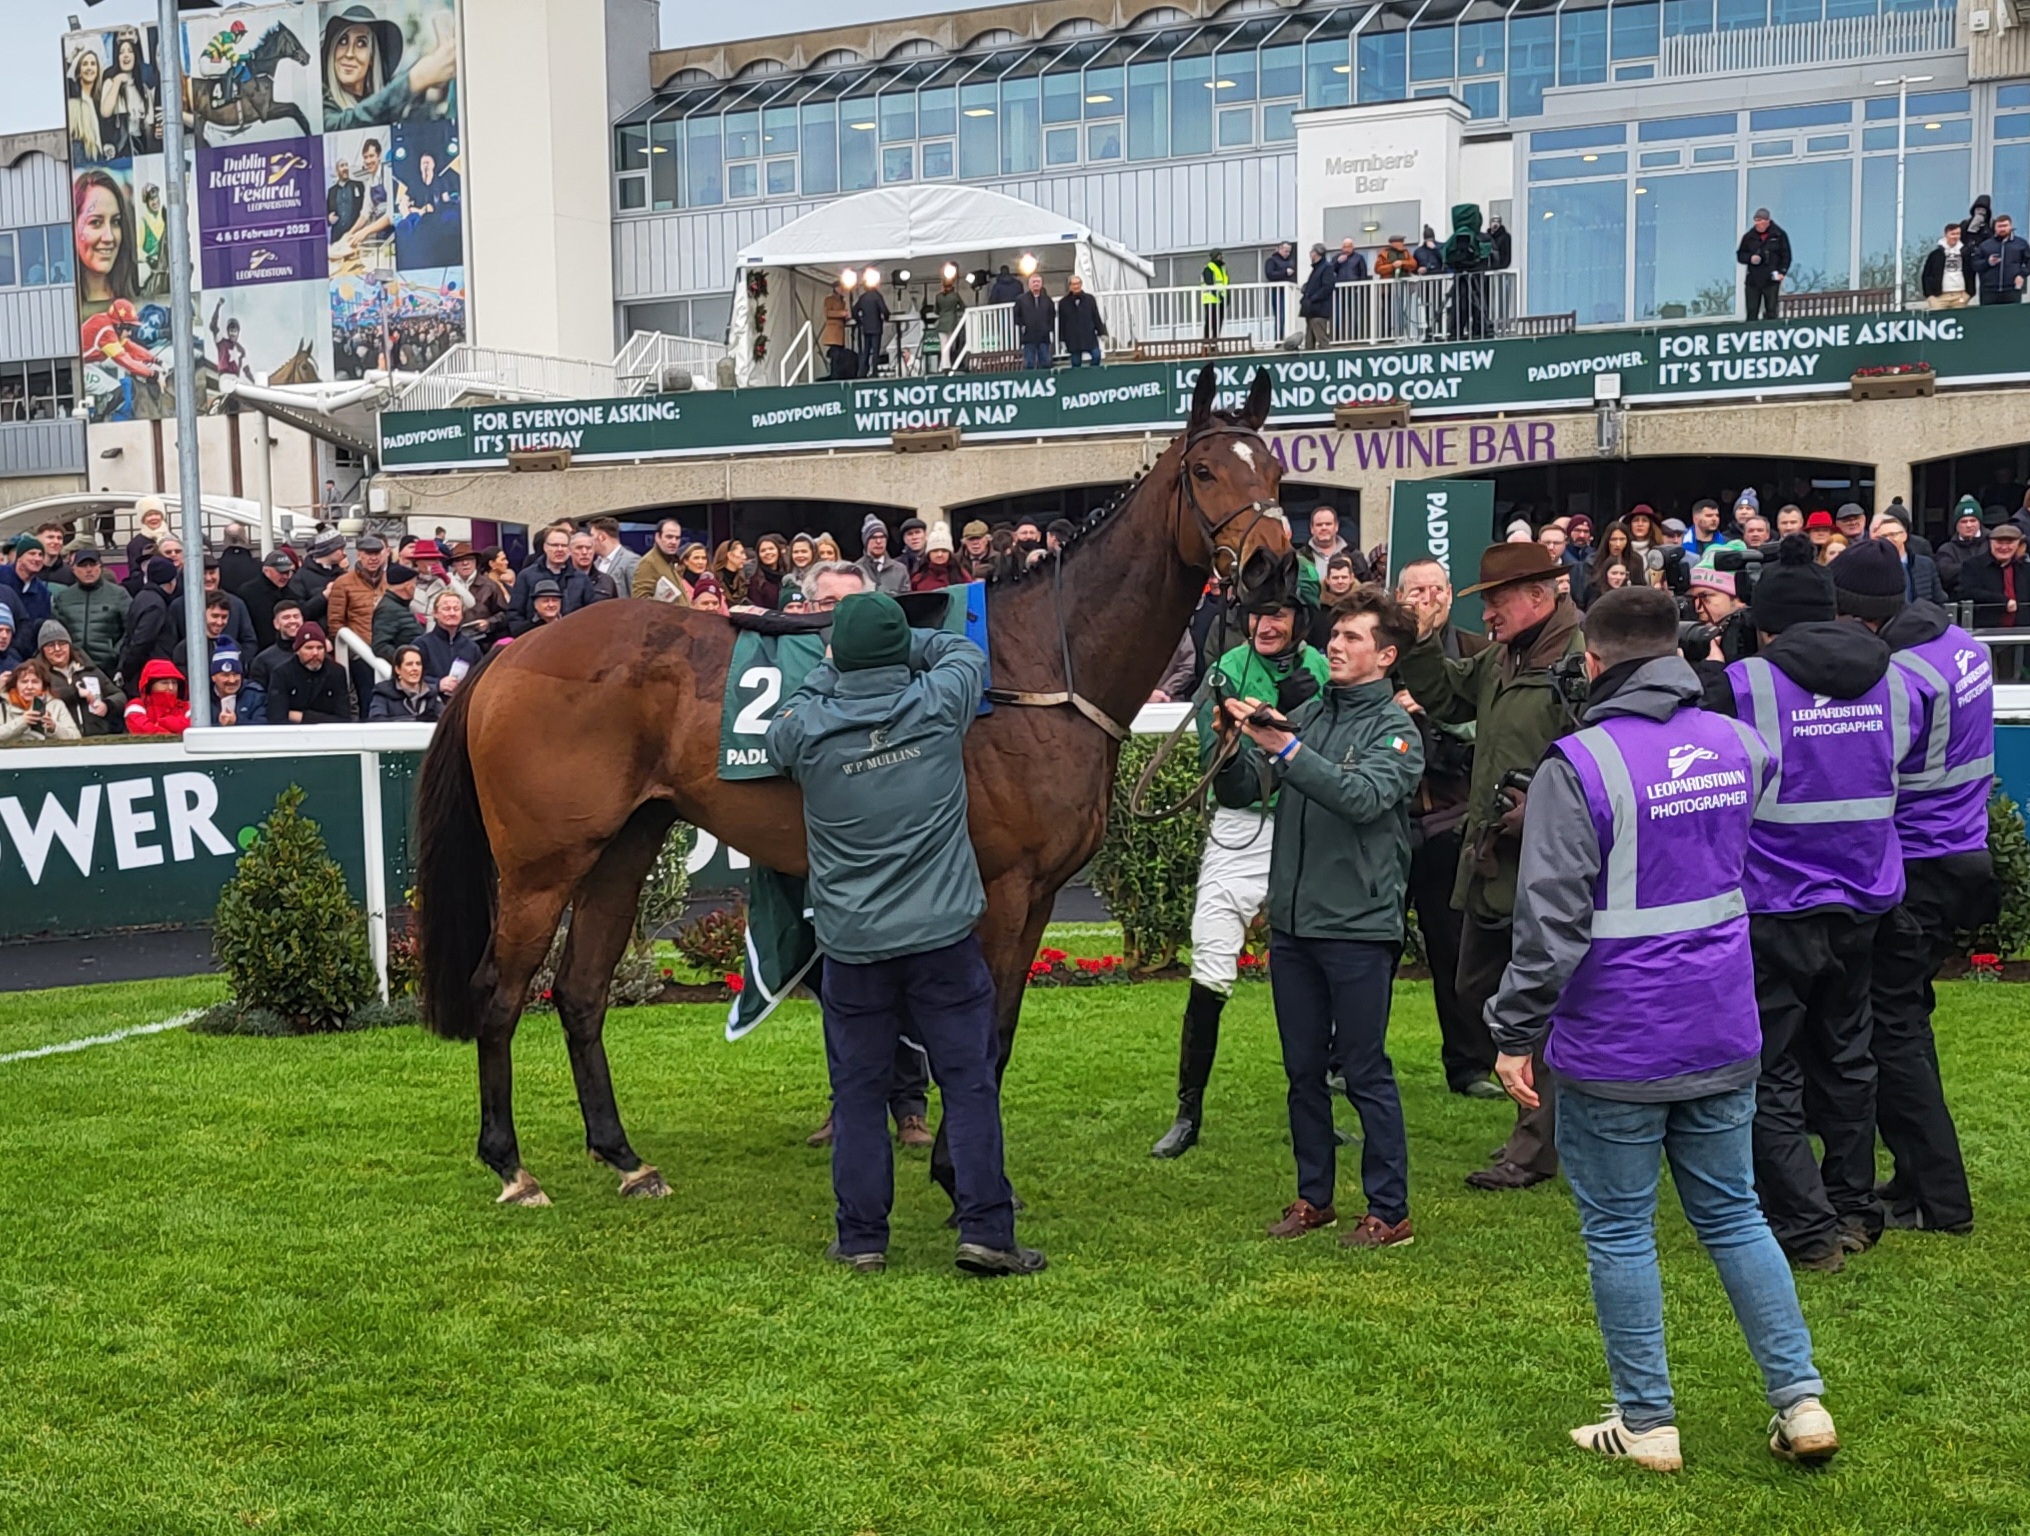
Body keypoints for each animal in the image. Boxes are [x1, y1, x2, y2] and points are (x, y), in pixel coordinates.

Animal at [181, 22, 312, 149]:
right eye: (293, 38)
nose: (307, 57)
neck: (259, 72)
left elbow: (296, 109)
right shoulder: (265, 111)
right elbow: (294, 109)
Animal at [416, 365, 1299, 1201]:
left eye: (1275, 469)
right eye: (1207, 471)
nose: (1274, 565)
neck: (1041, 664)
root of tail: (509, 656)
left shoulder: (1041, 893)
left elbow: (1001, 1032)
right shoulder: (1002, 887)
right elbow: (978, 1034)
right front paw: (956, 1170)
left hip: (622, 847)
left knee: (579, 991)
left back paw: (624, 1157)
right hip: (541, 864)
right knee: (501, 991)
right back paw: (511, 1165)